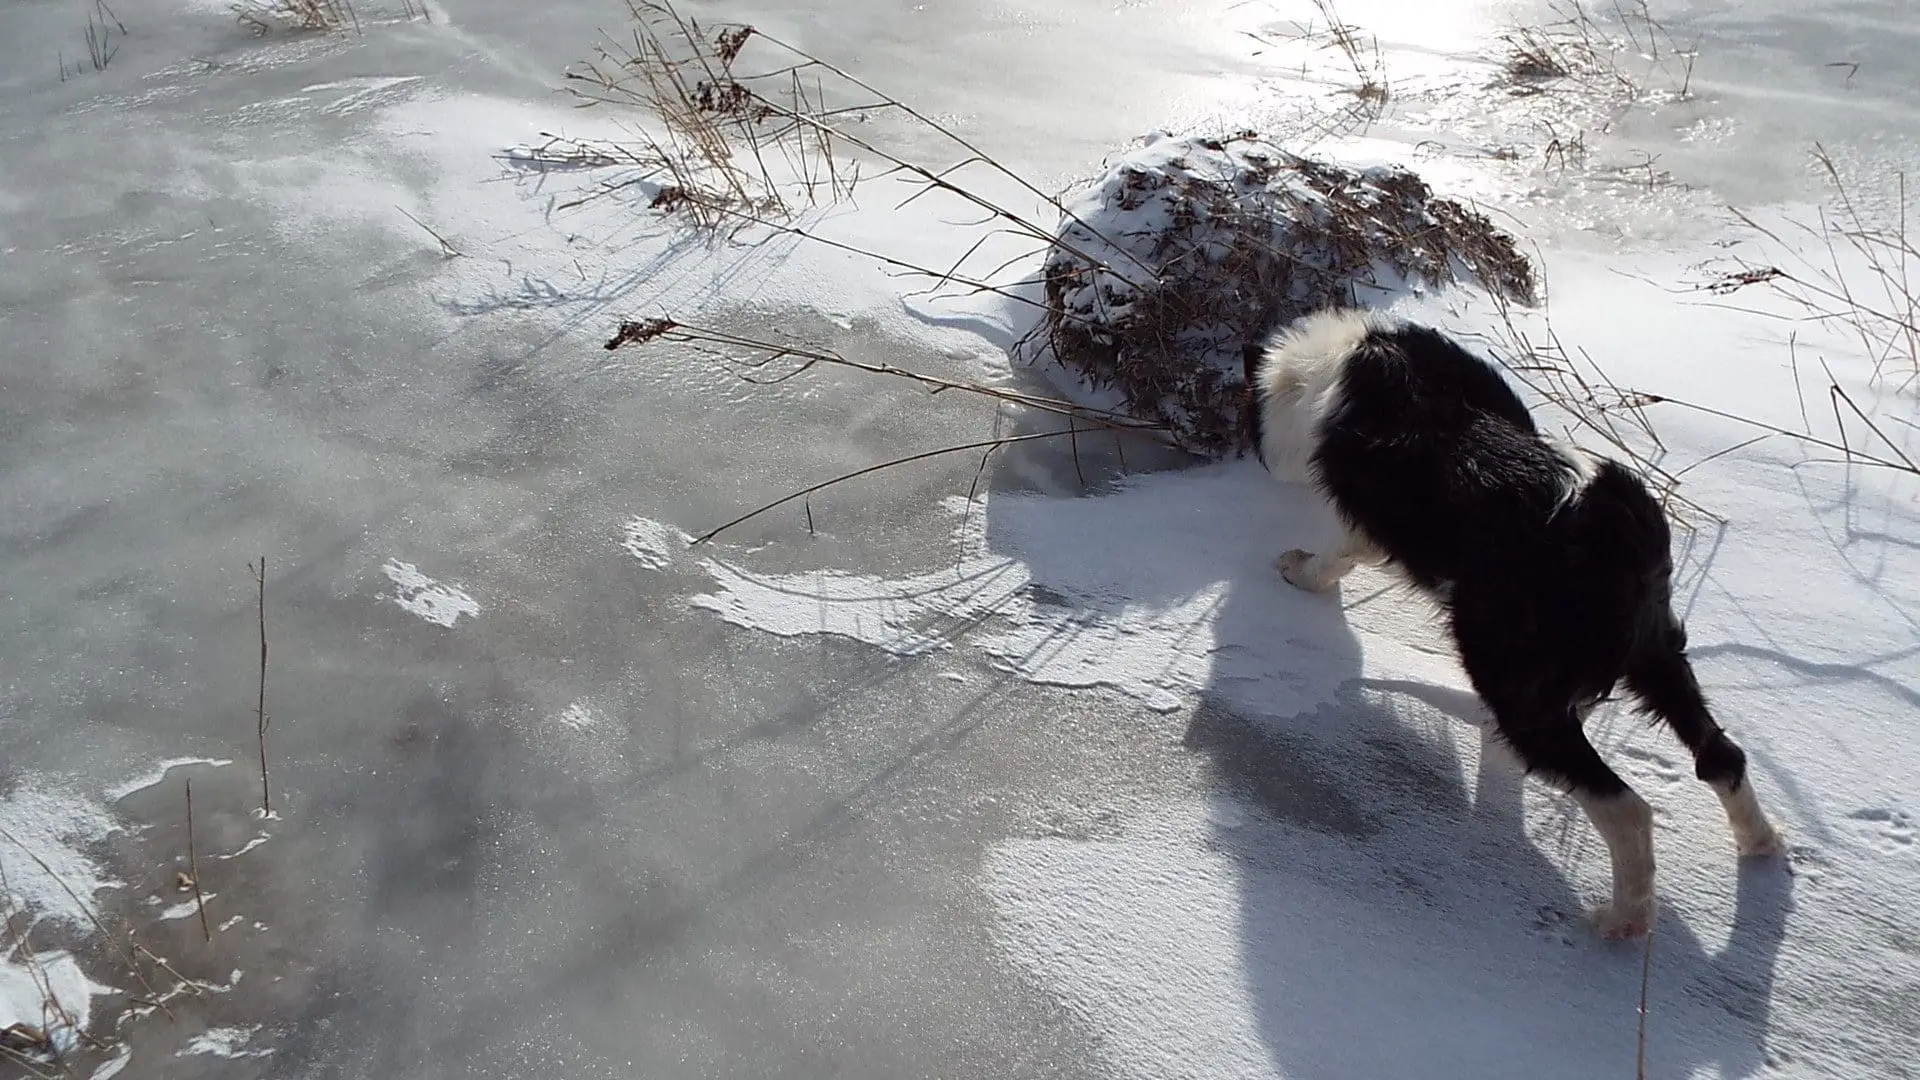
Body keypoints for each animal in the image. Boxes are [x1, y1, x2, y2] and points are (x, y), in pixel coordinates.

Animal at [1251, 307, 1774, 937]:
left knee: (1625, 808)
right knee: (1721, 755)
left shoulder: (1364, 523)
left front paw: (1297, 570)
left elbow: (1333, 558)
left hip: (1522, 692)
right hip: (1657, 653)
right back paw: (1761, 846)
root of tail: (1612, 532)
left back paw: (1622, 921)